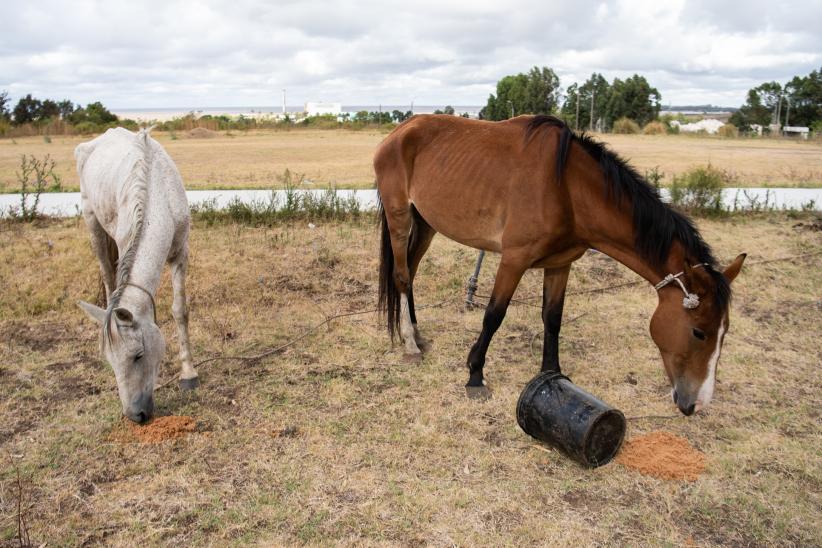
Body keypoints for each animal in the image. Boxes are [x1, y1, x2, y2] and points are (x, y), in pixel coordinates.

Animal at [77, 127, 200, 424]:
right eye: (110, 361)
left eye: (138, 356)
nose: (135, 415)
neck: (157, 196)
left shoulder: (181, 252)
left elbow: (180, 310)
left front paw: (189, 374)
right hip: (93, 223)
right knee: (108, 276)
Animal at [376, 115, 748, 416]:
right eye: (699, 332)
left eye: (724, 332)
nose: (696, 403)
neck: (567, 189)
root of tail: (400, 131)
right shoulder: (514, 260)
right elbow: (494, 315)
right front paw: (475, 375)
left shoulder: (561, 264)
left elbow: (552, 318)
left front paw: (551, 372)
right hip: (400, 217)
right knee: (403, 276)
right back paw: (410, 344)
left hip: (427, 223)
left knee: (412, 271)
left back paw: (417, 333)